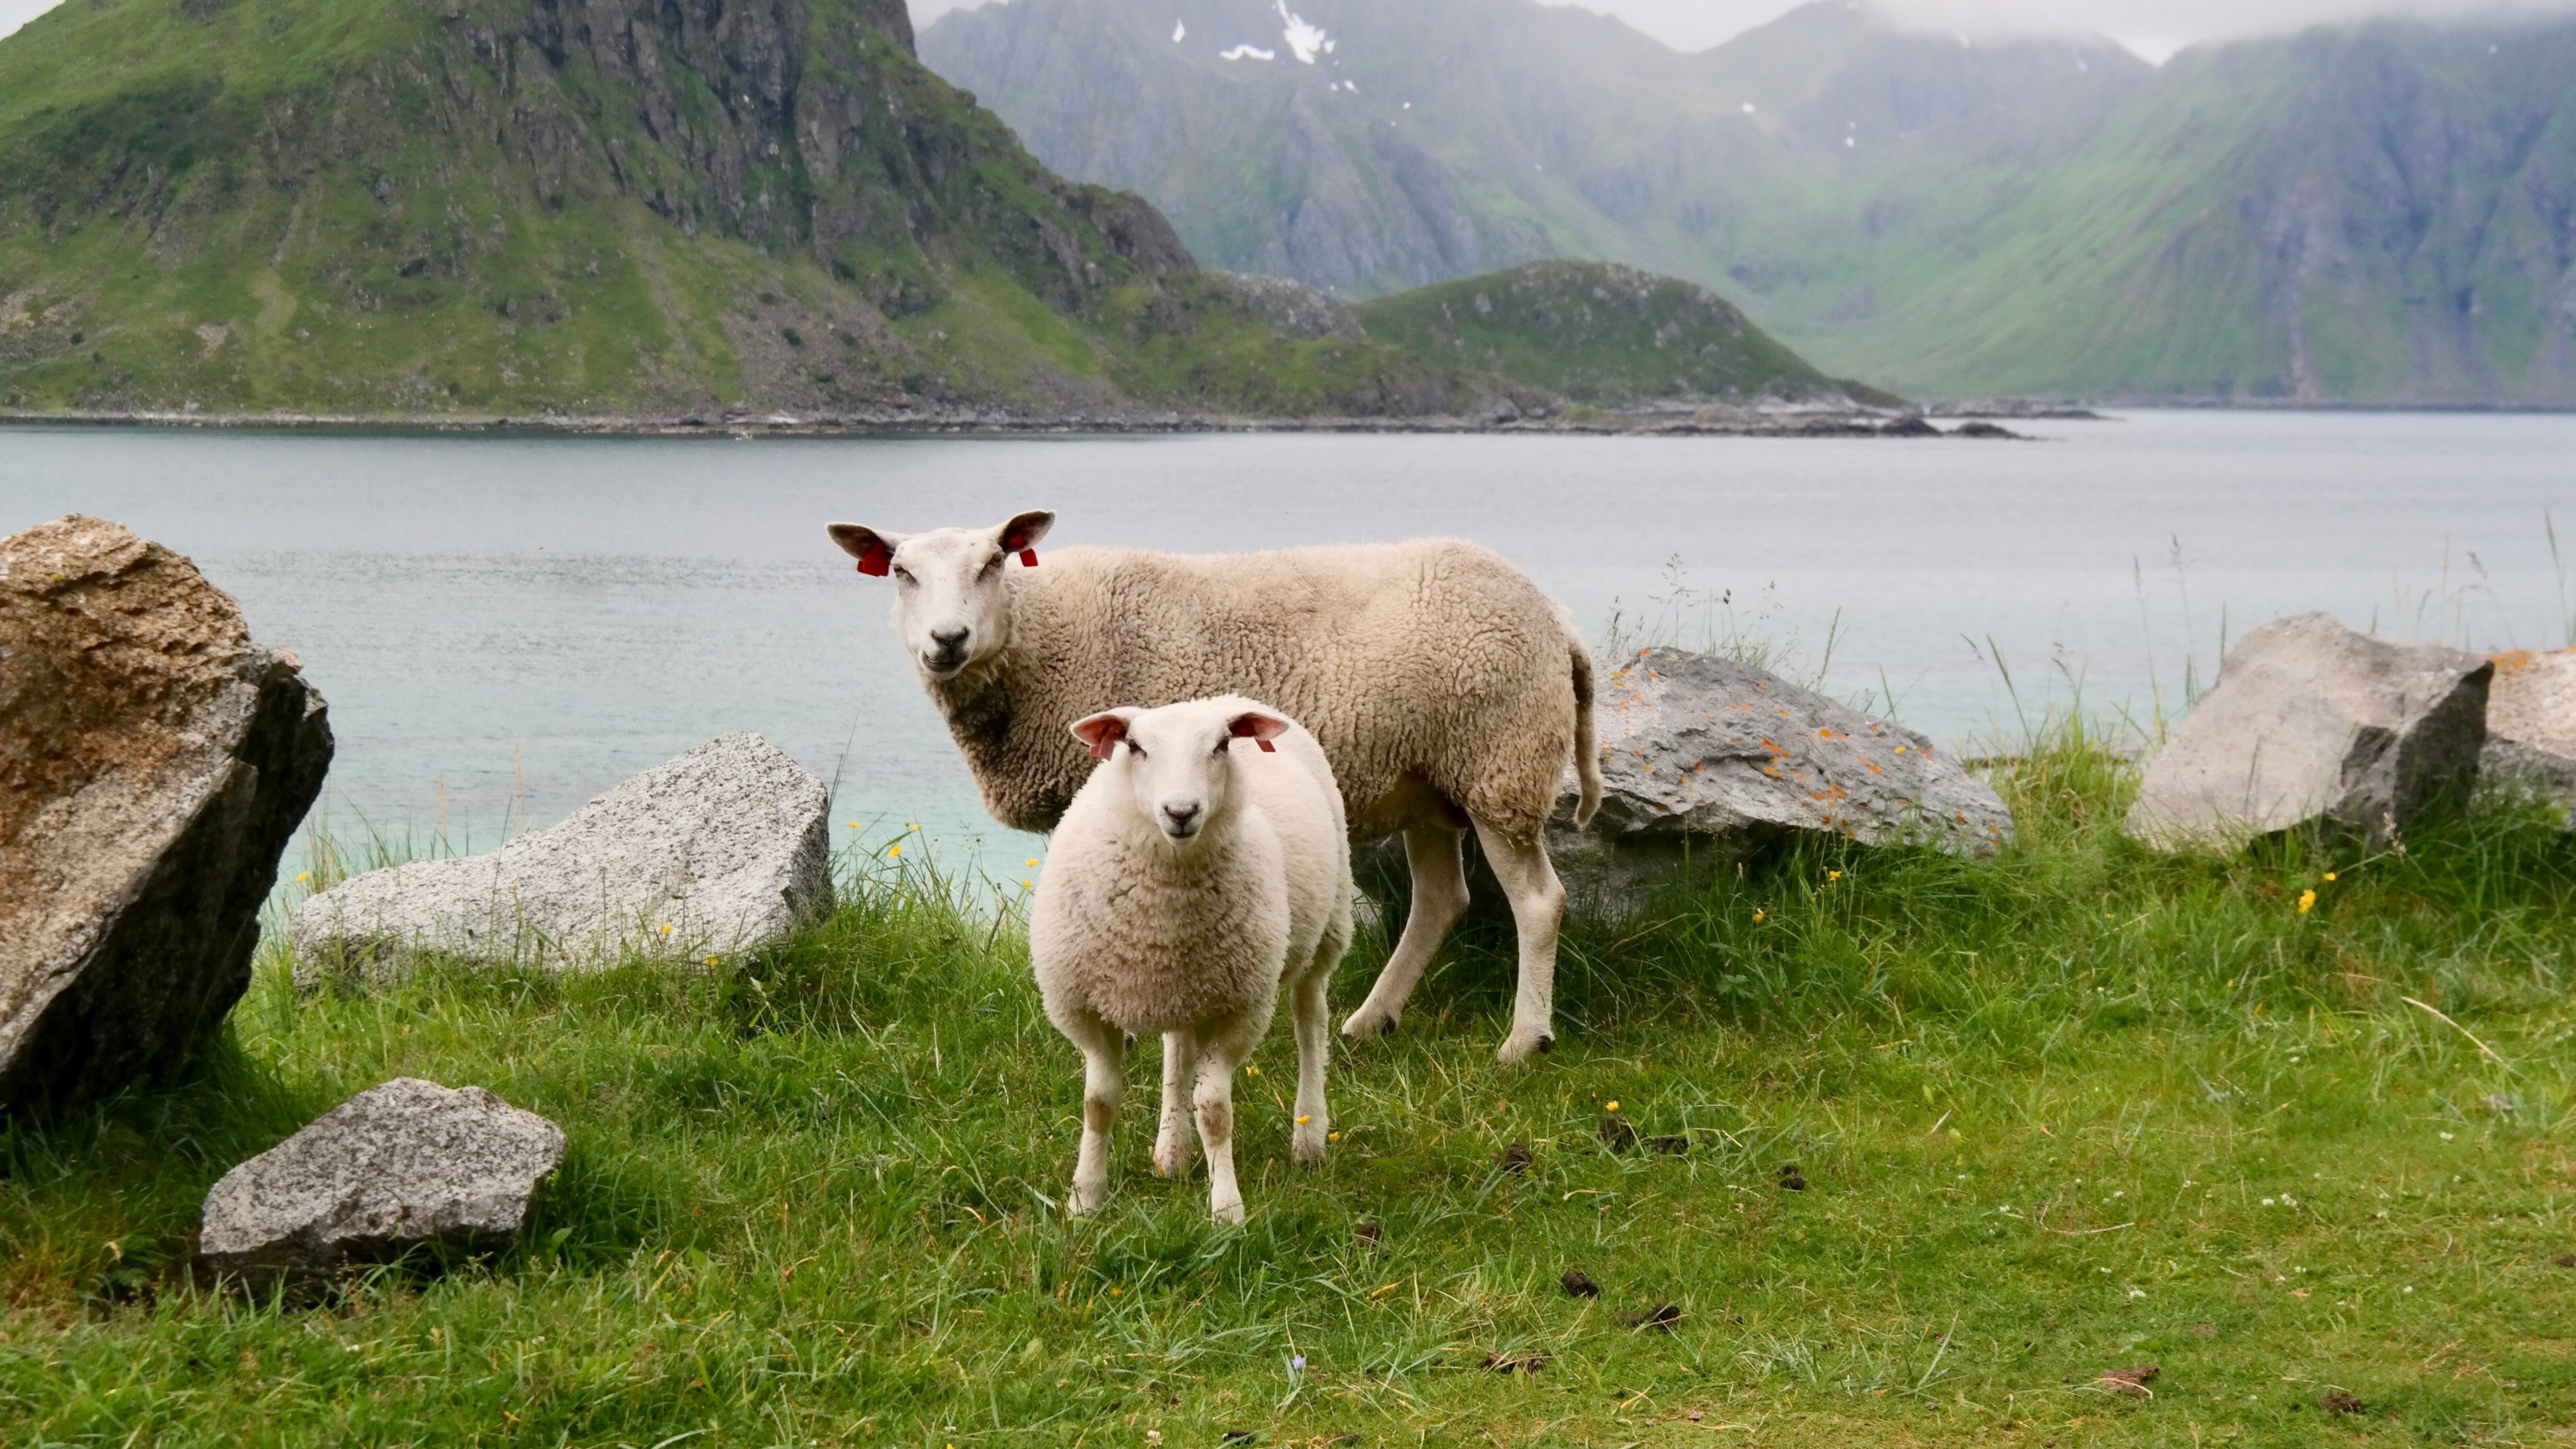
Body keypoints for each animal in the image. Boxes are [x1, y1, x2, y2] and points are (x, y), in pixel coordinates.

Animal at [824, 510, 1597, 1062]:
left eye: (992, 563)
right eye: (900, 572)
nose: (947, 639)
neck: (1039, 638)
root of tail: (1555, 615)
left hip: (1502, 763)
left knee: (1538, 903)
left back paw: (1524, 1041)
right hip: (1432, 783)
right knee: (1441, 901)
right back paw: (1371, 1021)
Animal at [1030, 691, 1360, 1217]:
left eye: (1222, 746)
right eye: (1136, 747)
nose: (1181, 811)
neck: (1161, 915)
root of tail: (1228, 697)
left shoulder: (1240, 1010)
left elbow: (1215, 1111)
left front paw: (1227, 1207)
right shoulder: (1084, 1009)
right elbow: (1098, 1104)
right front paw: (1086, 1199)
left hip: (1327, 929)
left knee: (1311, 1019)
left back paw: (1308, 1136)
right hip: (1186, 987)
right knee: (1178, 1049)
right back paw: (1172, 1153)